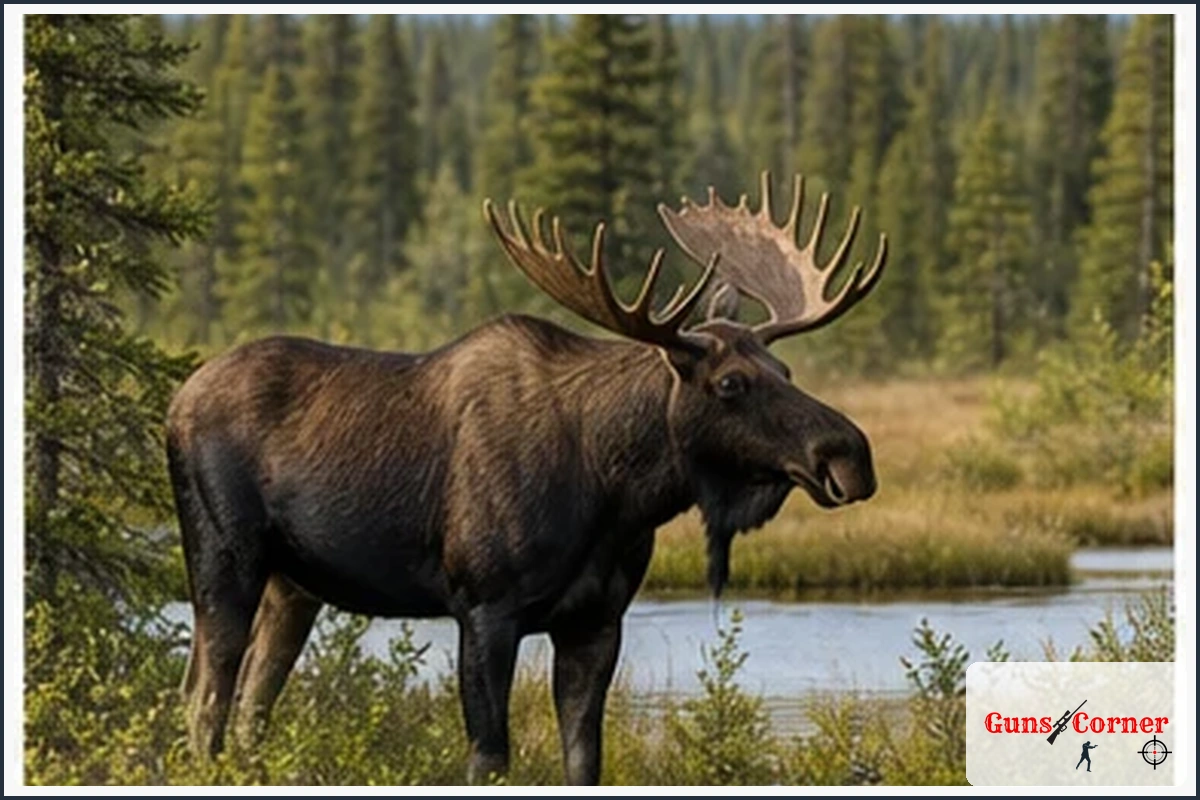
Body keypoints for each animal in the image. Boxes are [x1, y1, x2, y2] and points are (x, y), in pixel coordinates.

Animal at [166, 171, 887, 785]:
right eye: (731, 383)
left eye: (786, 371)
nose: (850, 455)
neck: (616, 495)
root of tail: (175, 403)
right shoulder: (485, 609)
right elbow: (490, 759)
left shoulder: (596, 621)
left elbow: (585, 761)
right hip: (225, 555)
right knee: (204, 695)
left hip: (295, 585)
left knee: (251, 703)